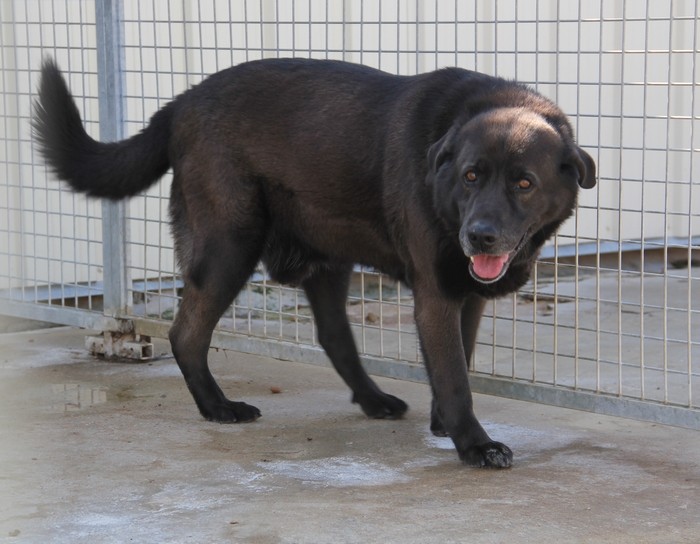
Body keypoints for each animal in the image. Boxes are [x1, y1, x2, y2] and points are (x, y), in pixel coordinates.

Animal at [34, 58, 596, 468]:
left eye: (524, 182)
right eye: (470, 176)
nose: (478, 235)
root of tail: (179, 104)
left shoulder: (467, 294)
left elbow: (462, 354)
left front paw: (444, 423)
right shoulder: (435, 294)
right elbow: (456, 375)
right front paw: (474, 444)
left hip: (327, 259)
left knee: (334, 336)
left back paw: (372, 399)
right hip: (229, 247)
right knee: (186, 332)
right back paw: (218, 408)